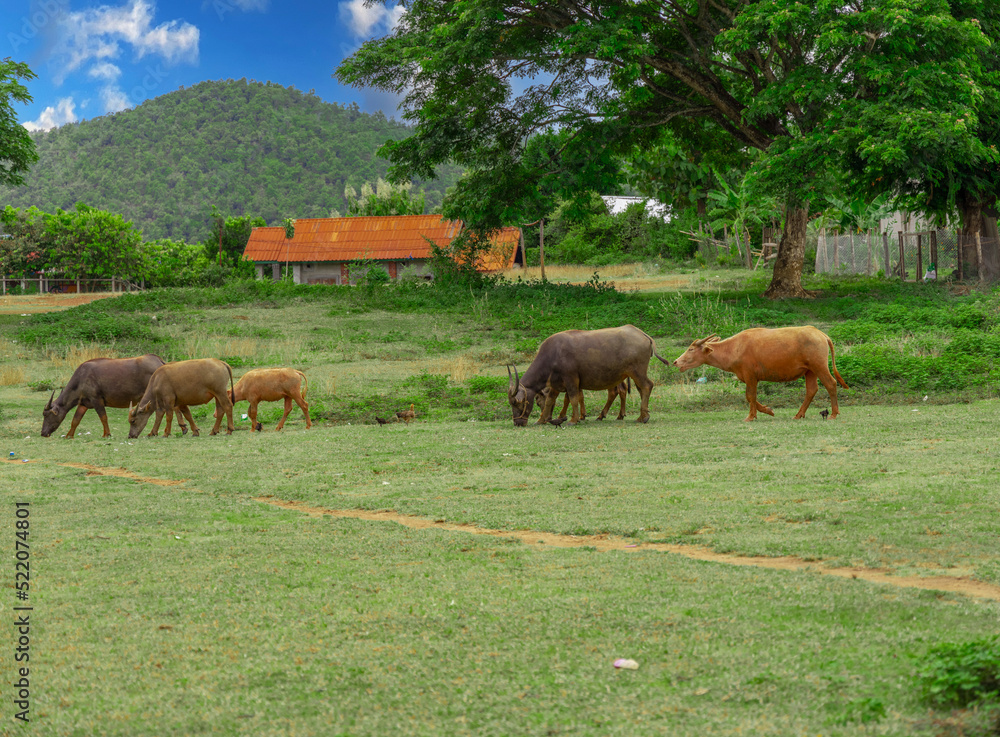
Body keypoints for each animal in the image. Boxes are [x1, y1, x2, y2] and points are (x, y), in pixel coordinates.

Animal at [41, 356, 189, 436]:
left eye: (46, 415)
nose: (43, 433)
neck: (81, 379)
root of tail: (160, 362)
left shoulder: (97, 400)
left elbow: (103, 417)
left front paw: (106, 434)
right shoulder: (84, 404)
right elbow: (75, 420)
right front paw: (69, 435)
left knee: (168, 409)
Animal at [508, 324, 672, 426]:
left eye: (518, 402)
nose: (517, 423)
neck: (553, 354)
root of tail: (642, 334)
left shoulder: (571, 380)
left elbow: (573, 398)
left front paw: (573, 419)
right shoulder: (555, 383)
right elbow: (550, 400)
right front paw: (541, 420)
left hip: (637, 371)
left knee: (646, 386)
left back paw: (643, 417)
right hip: (632, 374)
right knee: (635, 389)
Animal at [668, 326, 848, 422]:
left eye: (691, 349)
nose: (676, 362)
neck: (734, 348)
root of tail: (820, 333)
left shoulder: (750, 377)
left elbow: (750, 396)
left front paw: (751, 416)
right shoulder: (749, 378)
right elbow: (751, 398)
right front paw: (768, 410)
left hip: (819, 367)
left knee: (831, 384)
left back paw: (833, 414)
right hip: (810, 371)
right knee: (811, 390)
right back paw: (798, 414)